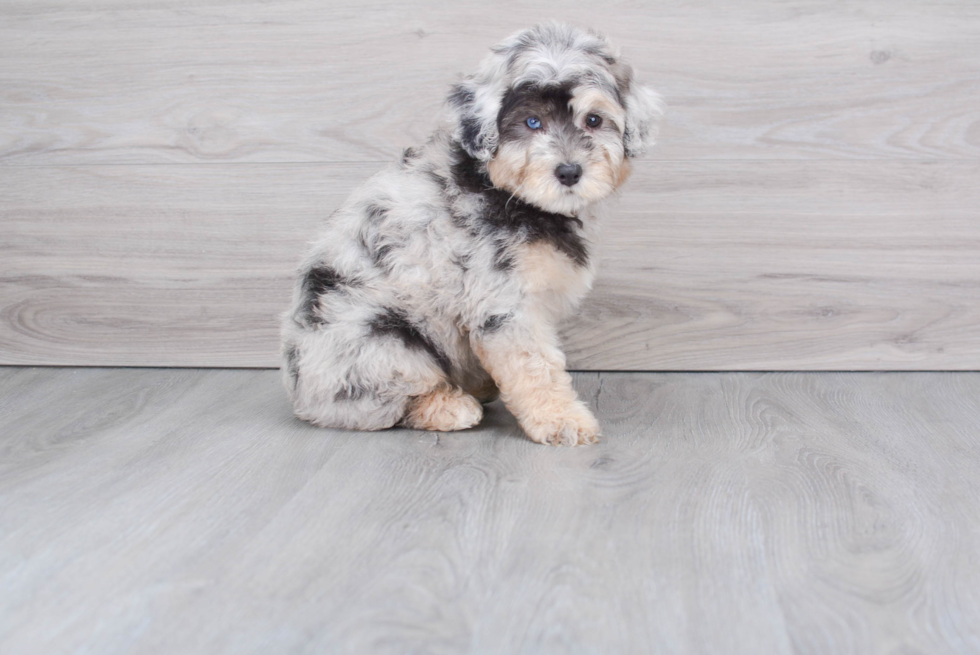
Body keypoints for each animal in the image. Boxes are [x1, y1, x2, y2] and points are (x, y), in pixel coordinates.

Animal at [284, 21, 668, 446]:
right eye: (532, 123)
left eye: (594, 120)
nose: (569, 172)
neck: (507, 192)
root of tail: (300, 393)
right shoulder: (502, 300)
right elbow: (535, 364)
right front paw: (563, 420)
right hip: (380, 337)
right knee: (382, 403)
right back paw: (449, 406)